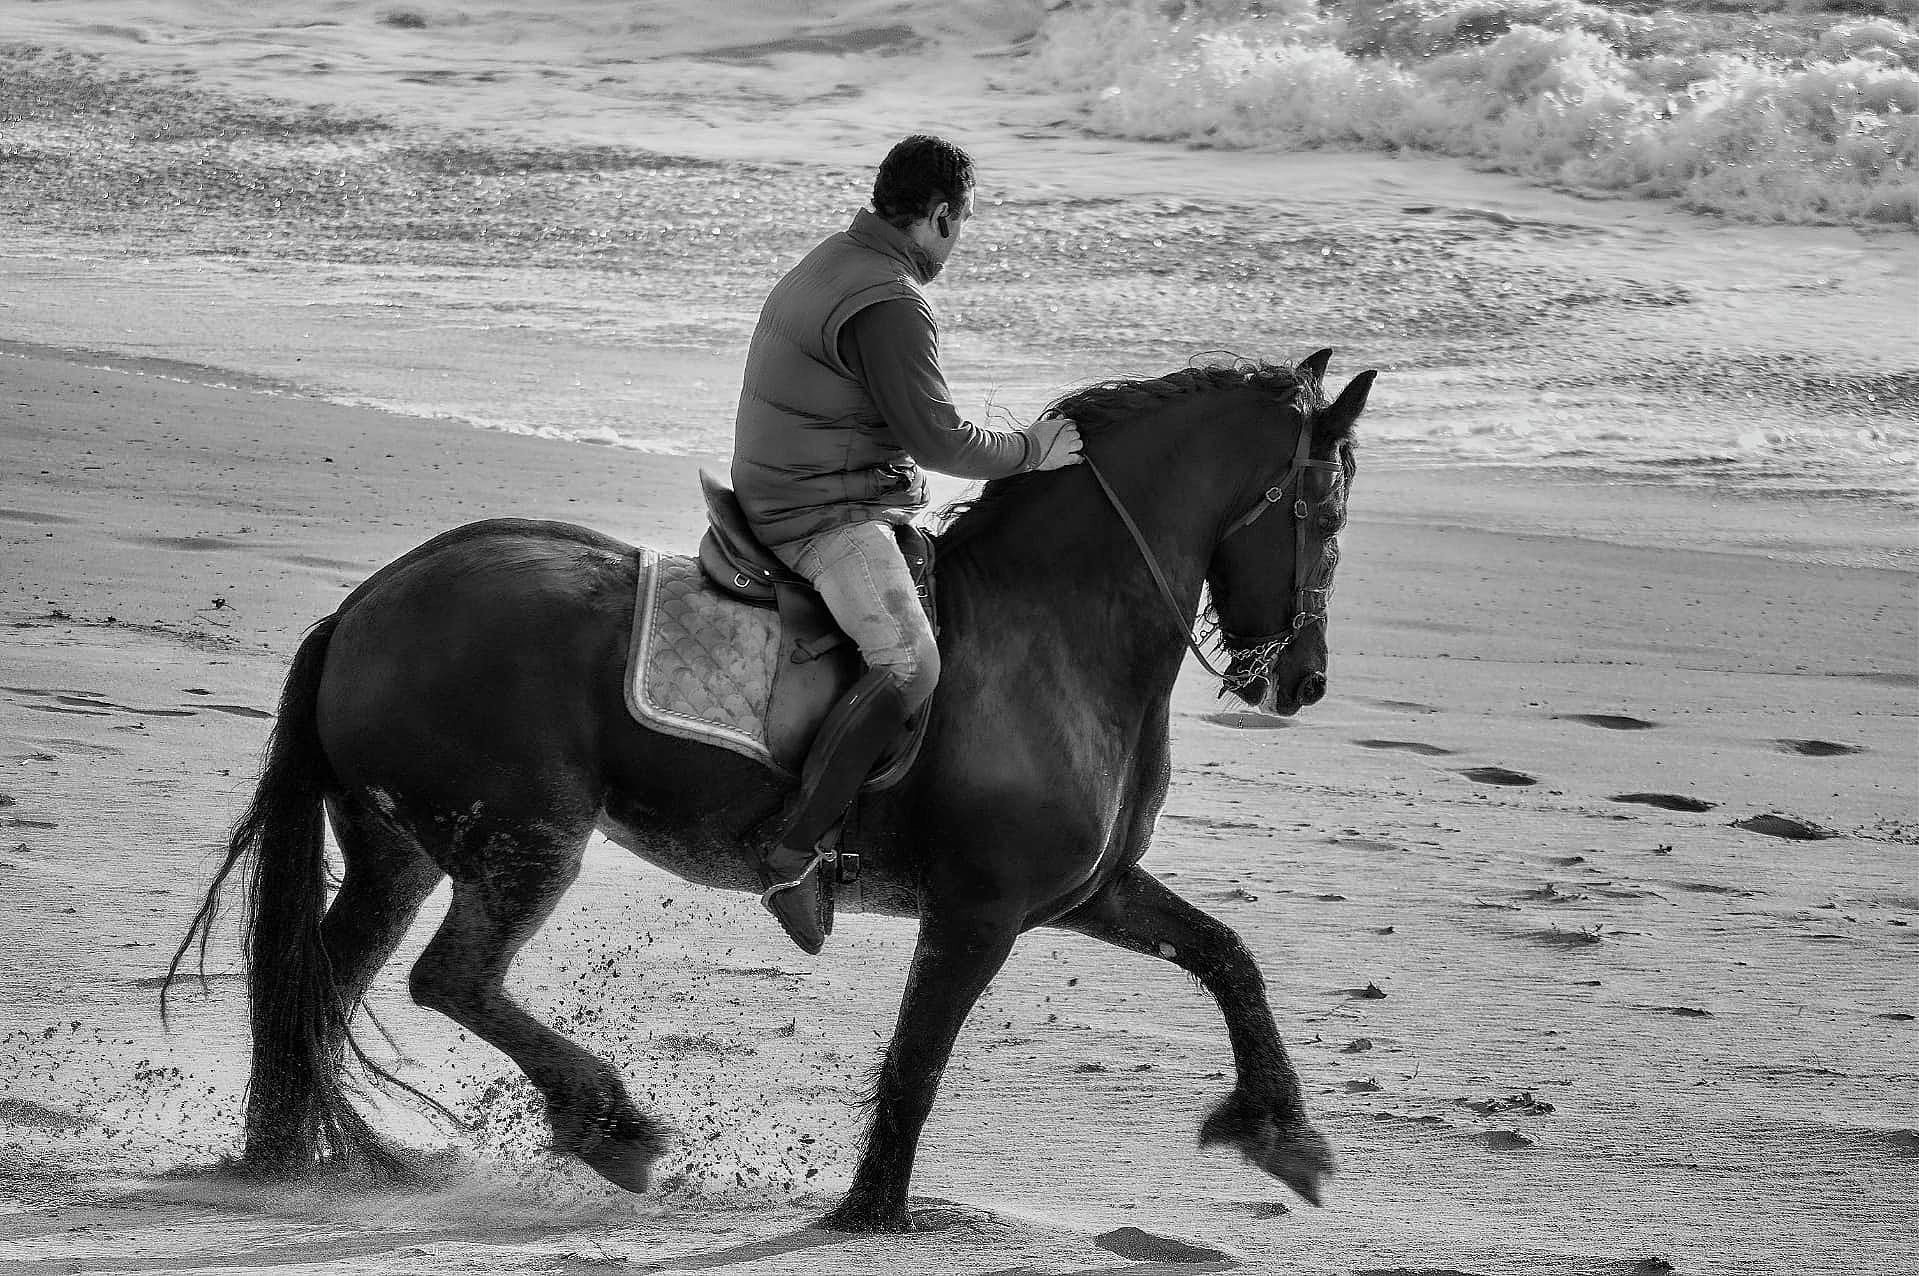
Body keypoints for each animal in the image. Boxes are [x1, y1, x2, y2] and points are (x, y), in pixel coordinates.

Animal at [166, 349, 1373, 1231]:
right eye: (1323, 513)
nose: (1302, 680)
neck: (1051, 627)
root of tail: (365, 605)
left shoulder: (1088, 892)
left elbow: (1227, 956)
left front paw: (1282, 1136)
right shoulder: (978, 911)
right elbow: (919, 1057)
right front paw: (872, 1212)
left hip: (399, 849)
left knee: (319, 976)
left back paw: (283, 1155)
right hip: (523, 842)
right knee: (448, 979)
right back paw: (609, 1125)